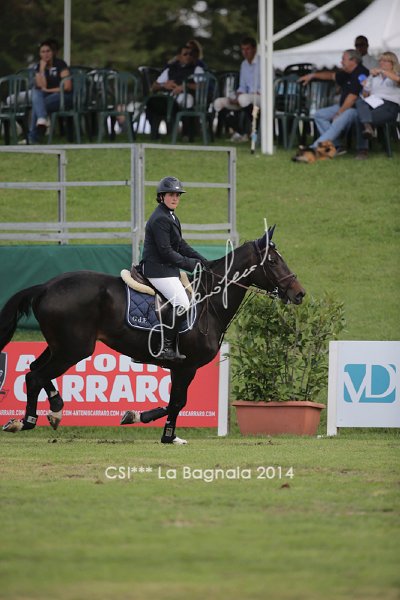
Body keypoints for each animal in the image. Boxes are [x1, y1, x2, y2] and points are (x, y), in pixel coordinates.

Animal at [0, 228, 305, 443]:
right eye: (273, 261)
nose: (299, 293)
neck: (208, 302)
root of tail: (46, 286)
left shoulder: (180, 368)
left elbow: (174, 402)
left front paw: (142, 419)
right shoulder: (186, 366)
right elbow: (178, 402)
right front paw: (163, 432)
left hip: (59, 346)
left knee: (34, 371)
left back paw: (48, 411)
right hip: (73, 349)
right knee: (36, 375)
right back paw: (32, 419)